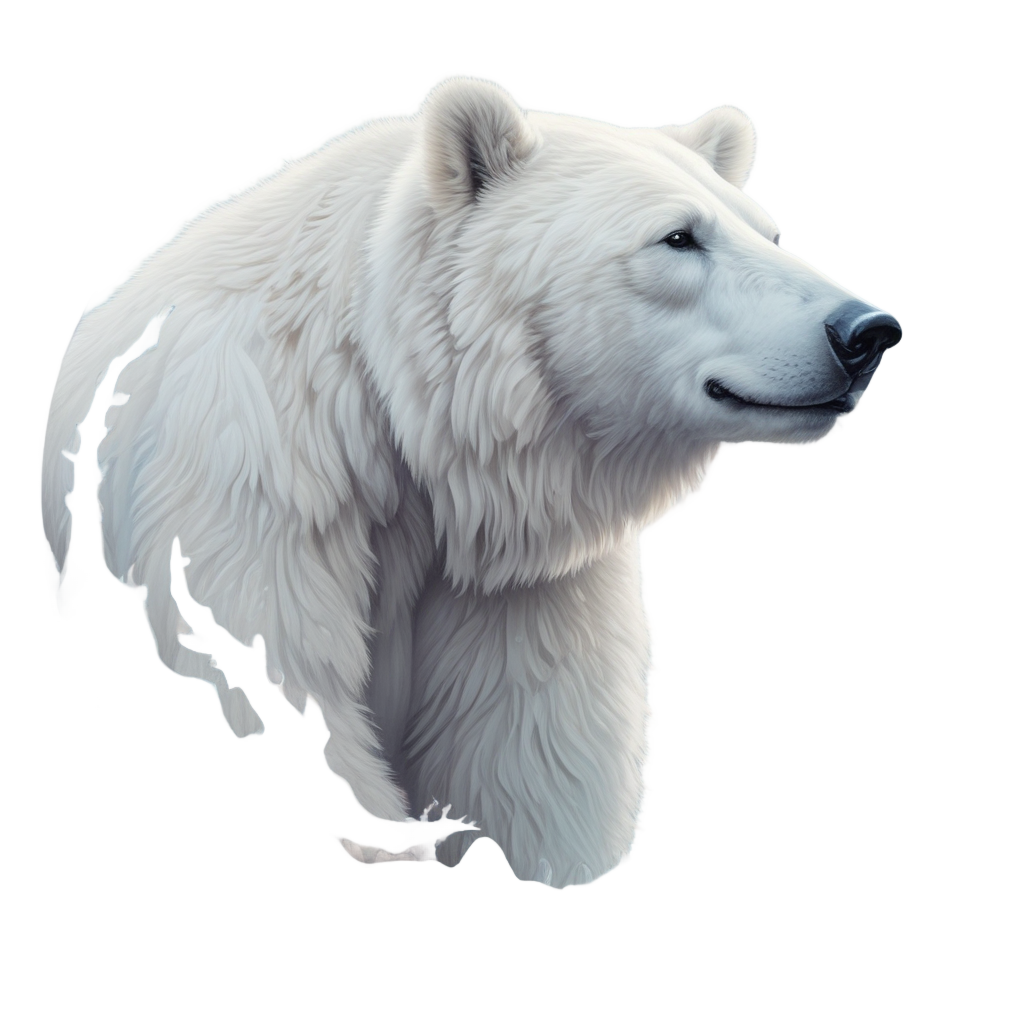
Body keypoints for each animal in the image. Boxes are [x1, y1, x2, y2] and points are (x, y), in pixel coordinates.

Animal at [42, 79, 900, 887]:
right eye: (679, 236)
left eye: (769, 232)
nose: (865, 332)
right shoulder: (244, 498)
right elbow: (277, 697)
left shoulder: (511, 585)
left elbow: (522, 756)